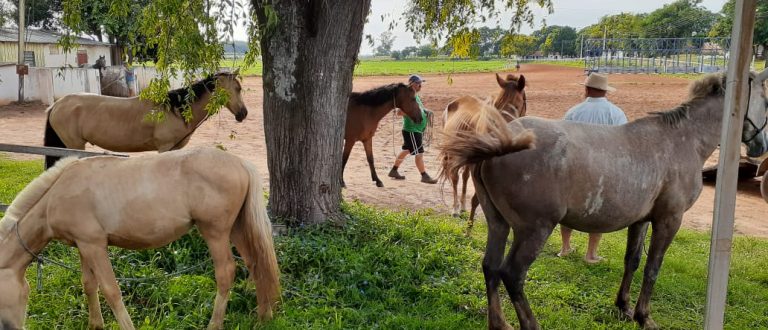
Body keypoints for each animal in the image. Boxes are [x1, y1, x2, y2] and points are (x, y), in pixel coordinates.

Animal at [0, 148, 280, 330]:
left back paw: (215, 324)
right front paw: (95, 325)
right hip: (237, 229)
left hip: (215, 232)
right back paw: (264, 315)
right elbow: (89, 285)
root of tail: (240, 162)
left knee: (226, 273)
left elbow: (111, 290)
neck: (57, 195)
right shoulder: (83, 246)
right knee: (257, 263)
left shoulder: (95, 246)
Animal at [440, 72, 524, 218]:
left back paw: (462, 207)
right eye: (498, 105)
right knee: (455, 177)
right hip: (453, 154)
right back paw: (455, 209)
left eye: (517, 107)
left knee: (464, 177)